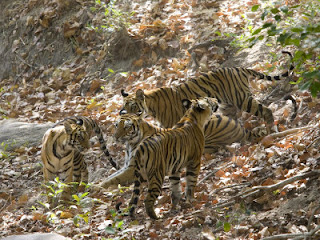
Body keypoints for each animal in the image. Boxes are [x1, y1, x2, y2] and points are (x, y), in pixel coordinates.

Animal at [120, 51, 296, 133]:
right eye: (124, 108)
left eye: (133, 108)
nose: (126, 116)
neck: (150, 106)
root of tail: (239, 68)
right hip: (227, 105)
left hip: (242, 99)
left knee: (266, 111)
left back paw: (271, 131)